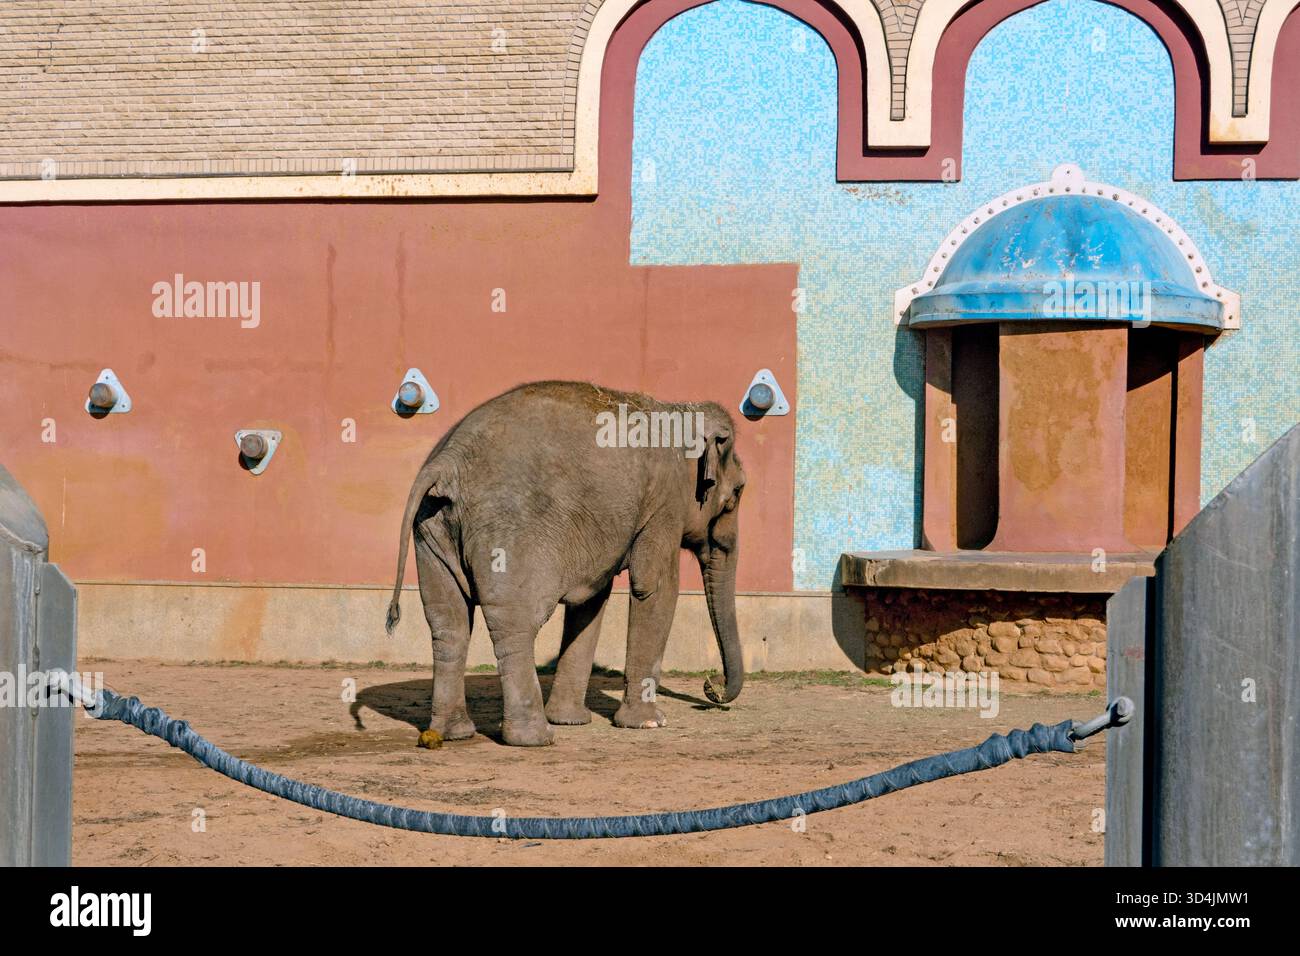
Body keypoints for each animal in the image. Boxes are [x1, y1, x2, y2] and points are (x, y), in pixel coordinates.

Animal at [384, 380, 747, 746]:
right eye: (736, 496)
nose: (710, 685)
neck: (680, 411)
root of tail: (448, 461)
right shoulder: (664, 503)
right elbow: (655, 587)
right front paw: (649, 723)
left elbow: (591, 600)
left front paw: (572, 720)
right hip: (507, 533)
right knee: (515, 624)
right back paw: (535, 738)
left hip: (432, 529)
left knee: (449, 624)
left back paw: (454, 733)